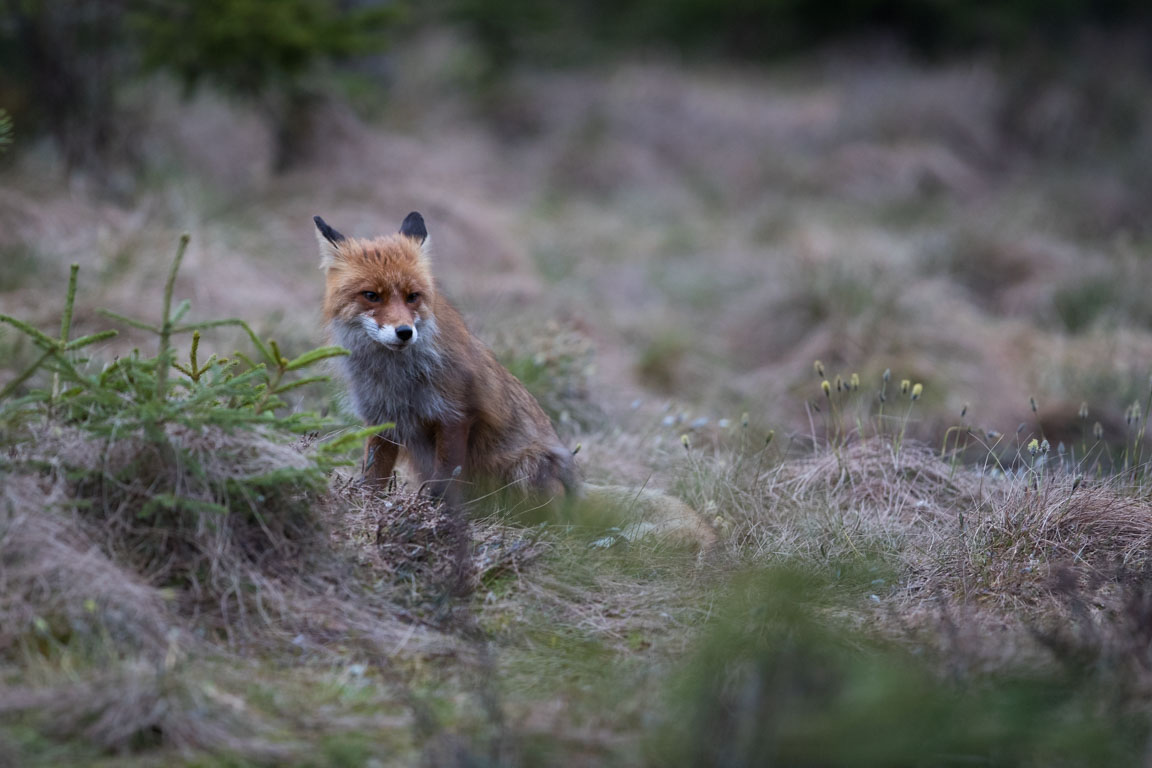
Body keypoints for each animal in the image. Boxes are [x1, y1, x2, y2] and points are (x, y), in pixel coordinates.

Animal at [313, 210, 576, 504]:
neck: (395, 378)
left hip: (525, 468)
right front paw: (367, 504)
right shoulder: (382, 419)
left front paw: (436, 512)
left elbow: (445, 481)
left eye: (412, 297)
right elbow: (373, 476)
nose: (405, 332)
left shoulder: (455, 414)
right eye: (372, 295)